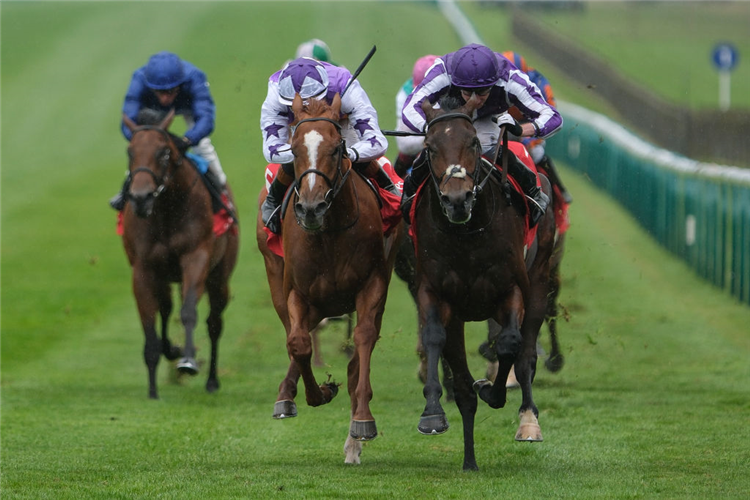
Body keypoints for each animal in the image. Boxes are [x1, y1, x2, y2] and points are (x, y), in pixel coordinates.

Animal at [121, 109, 238, 398]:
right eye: (130, 151)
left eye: (164, 152)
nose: (141, 197)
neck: (166, 210)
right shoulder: (144, 269)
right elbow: (149, 321)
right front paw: (152, 389)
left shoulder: (196, 258)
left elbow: (188, 313)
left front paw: (187, 361)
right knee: (165, 308)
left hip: (219, 277)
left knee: (214, 322)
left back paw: (211, 380)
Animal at [256, 93, 406, 464]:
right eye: (294, 150)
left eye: (338, 148)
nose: (311, 207)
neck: (328, 233)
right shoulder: (296, 291)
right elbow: (298, 343)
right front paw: (318, 392)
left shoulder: (372, 285)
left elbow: (362, 343)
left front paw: (362, 422)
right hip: (278, 279)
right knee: (297, 336)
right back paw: (285, 395)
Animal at [412, 95, 560, 470]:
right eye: (429, 146)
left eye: (474, 143)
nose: (457, 199)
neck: (467, 233)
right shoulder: (436, 293)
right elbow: (435, 338)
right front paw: (432, 414)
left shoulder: (511, 289)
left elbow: (509, 343)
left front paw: (492, 390)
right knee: (463, 381)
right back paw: (470, 461)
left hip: (539, 280)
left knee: (525, 353)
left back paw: (528, 420)